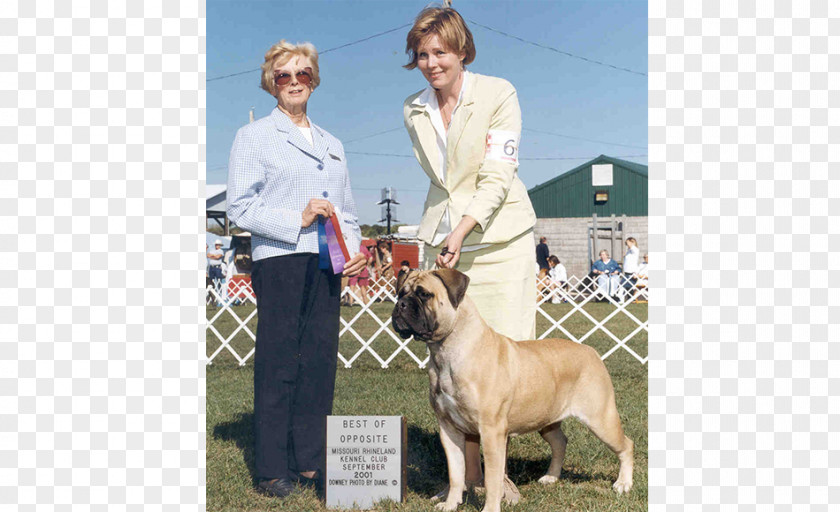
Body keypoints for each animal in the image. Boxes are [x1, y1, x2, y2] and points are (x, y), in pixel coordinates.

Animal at [390, 268, 632, 512]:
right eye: (400, 292)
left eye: (425, 294)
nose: (400, 304)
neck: (447, 350)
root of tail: (591, 351)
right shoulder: (449, 429)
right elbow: (456, 473)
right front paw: (450, 504)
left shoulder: (491, 431)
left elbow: (492, 478)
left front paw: (490, 508)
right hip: (546, 419)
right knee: (560, 442)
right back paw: (551, 477)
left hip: (600, 419)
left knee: (626, 445)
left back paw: (623, 484)